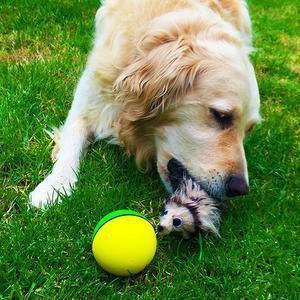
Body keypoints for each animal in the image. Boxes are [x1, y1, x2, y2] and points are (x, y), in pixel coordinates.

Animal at [29, 0, 260, 209]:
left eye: (249, 130)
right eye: (221, 116)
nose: (240, 189)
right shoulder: (87, 97)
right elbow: (72, 141)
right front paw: (54, 186)